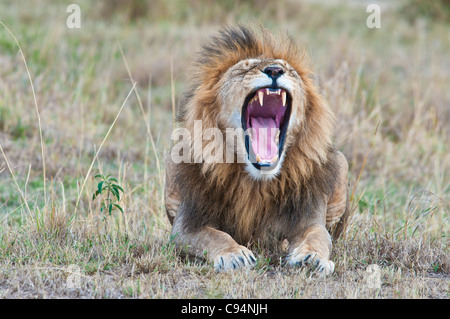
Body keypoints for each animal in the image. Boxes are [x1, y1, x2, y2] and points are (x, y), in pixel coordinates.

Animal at [163, 25, 350, 276]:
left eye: (289, 70)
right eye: (245, 68)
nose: (275, 70)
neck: (257, 183)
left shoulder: (308, 217)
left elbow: (318, 237)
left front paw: (311, 257)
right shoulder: (187, 224)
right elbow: (213, 236)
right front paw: (234, 255)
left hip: (341, 161)